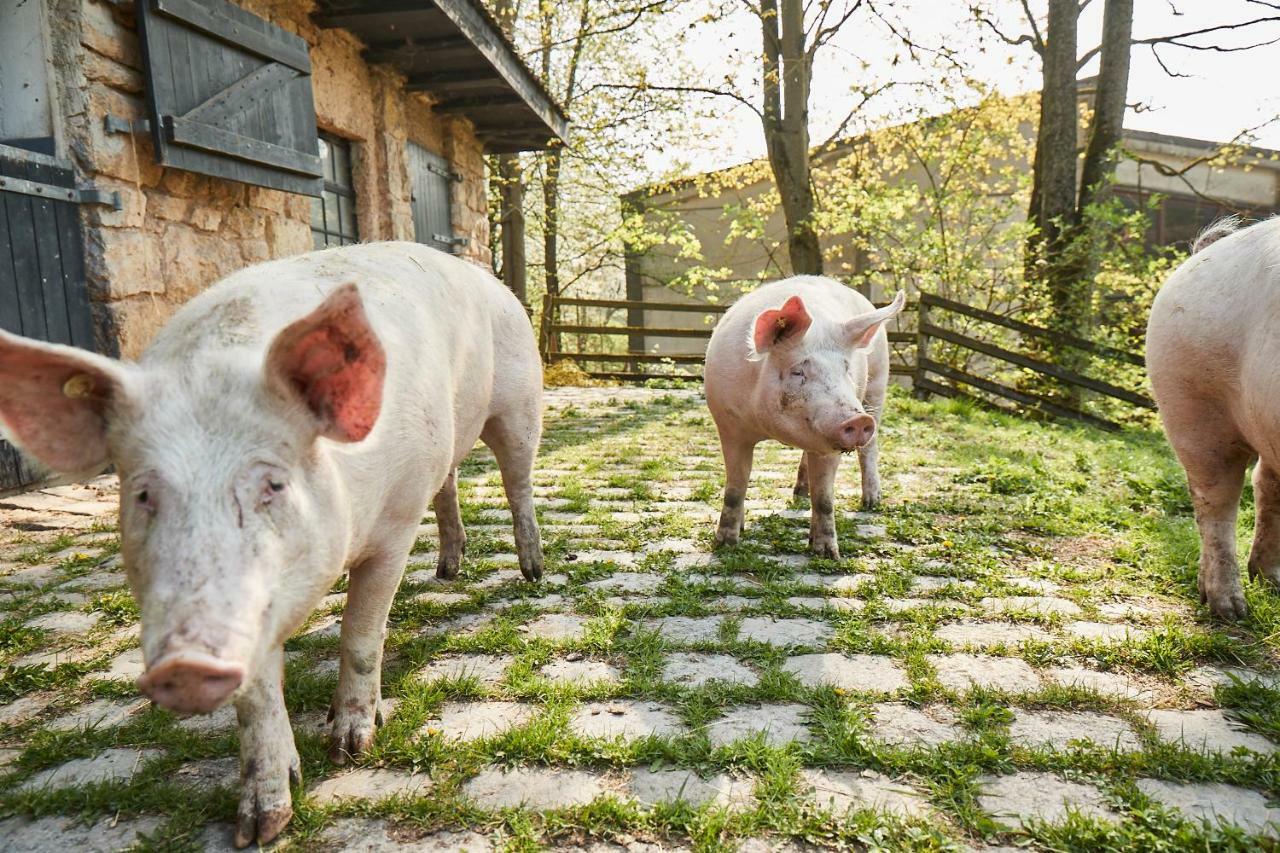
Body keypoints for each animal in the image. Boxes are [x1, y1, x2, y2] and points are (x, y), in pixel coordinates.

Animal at [0, 239, 545, 845]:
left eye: (274, 485)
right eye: (142, 493)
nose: (184, 663)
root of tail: (496, 286)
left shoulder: (396, 524)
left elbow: (361, 634)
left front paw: (350, 747)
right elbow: (258, 696)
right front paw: (262, 827)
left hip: (520, 402)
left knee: (518, 479)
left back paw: (532, 570)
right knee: (450, 482)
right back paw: (447, 571)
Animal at [706, 275, 906, 558]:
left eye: (846, 368)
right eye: (798, 371)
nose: (858, 421)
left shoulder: (832, 443)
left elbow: (824, 498)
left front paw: (827, 554)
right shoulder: (729, 425)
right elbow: (736, 486)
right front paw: (724, 545)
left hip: (878, 384)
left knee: (870, 449)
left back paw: (871, 503)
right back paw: (800, 493)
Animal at [1146, 217, 1280, 617]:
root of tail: (1206, 251)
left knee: (1264, 482)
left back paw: (1271, 582)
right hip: (1193, 405)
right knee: (1216, 500)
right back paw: (1229, 610)